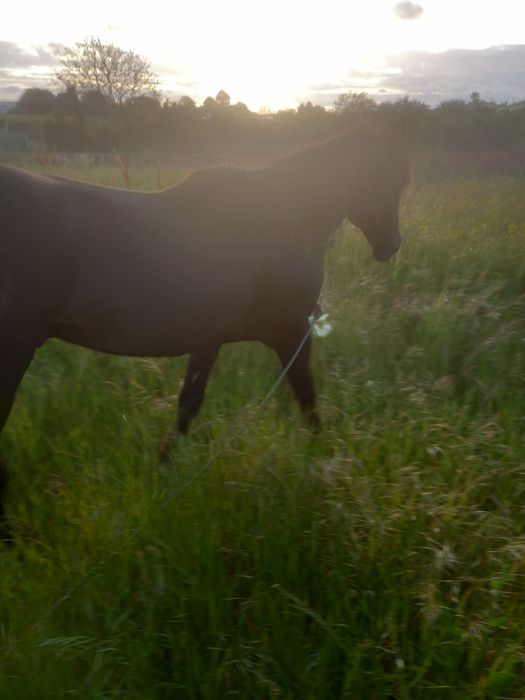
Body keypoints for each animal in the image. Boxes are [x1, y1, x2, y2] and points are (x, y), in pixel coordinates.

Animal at [0, 125, 410, 538]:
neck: (280, 220)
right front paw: (325, 464)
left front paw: (160, 474)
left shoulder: (209, 338)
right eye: (390, 177)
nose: (391, 245)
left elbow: (189, 405)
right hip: (15, 350)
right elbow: (308, 402)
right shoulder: (291, 335)